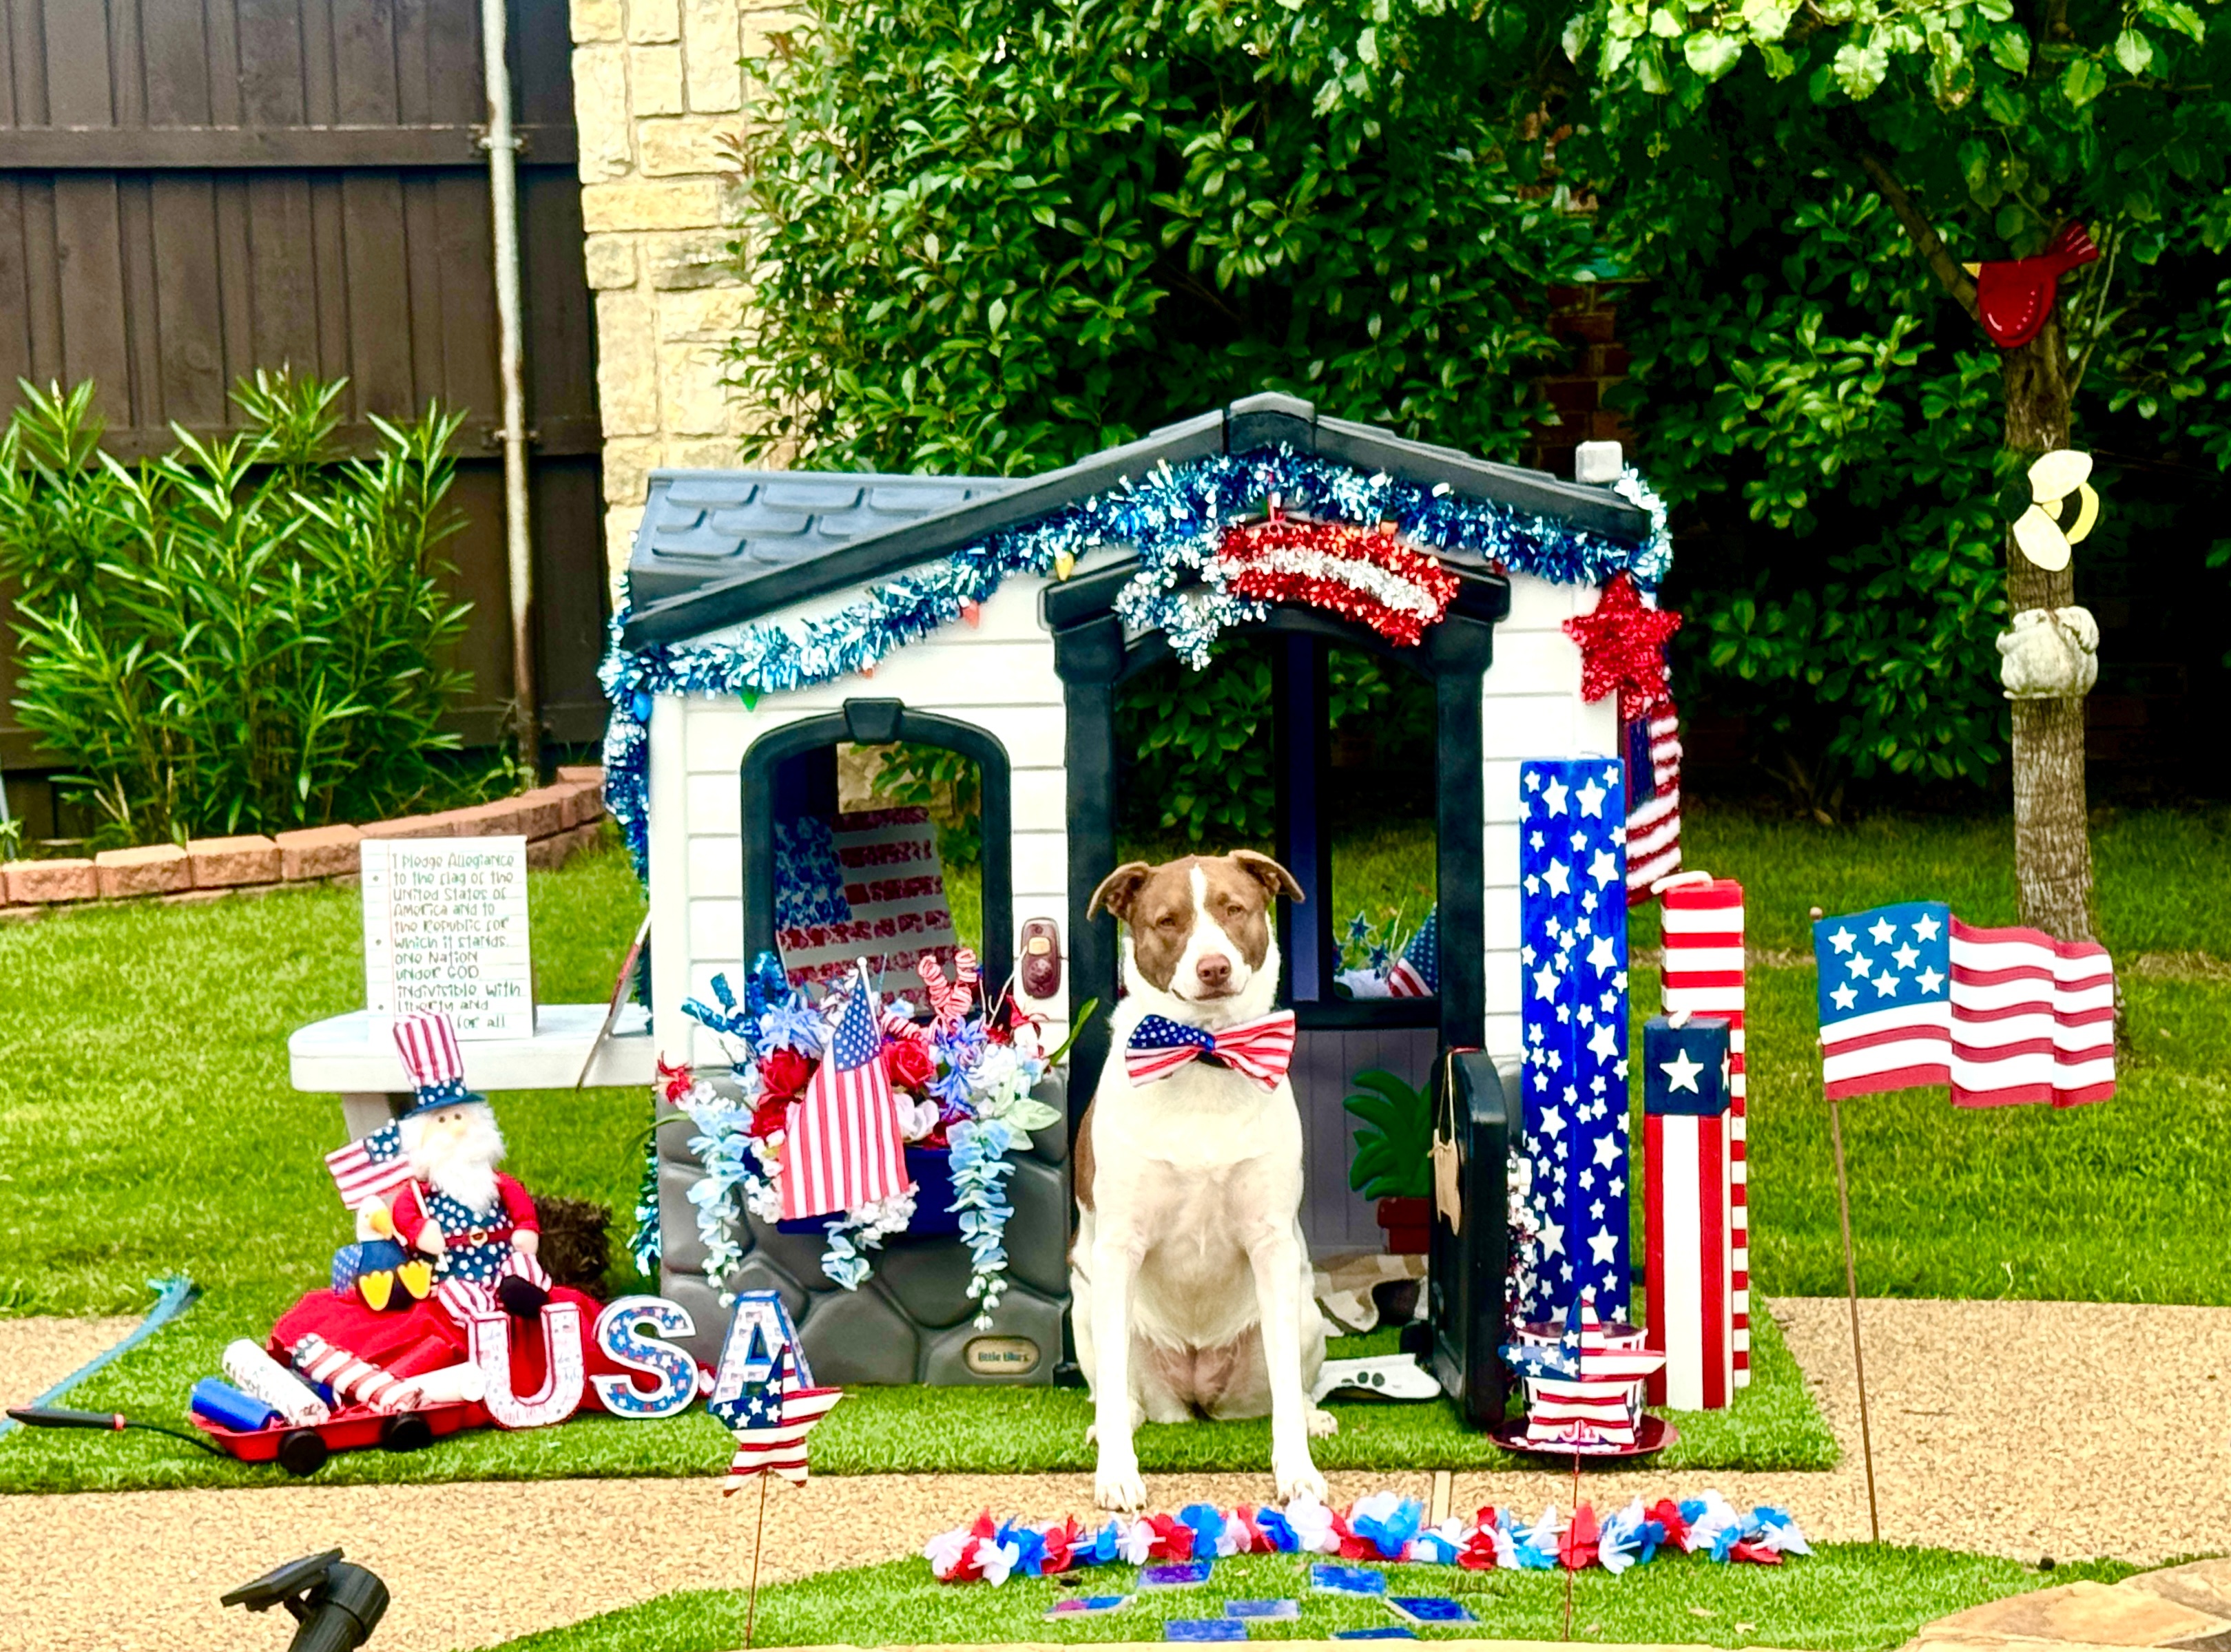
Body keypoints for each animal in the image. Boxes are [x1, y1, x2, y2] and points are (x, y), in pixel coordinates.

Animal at [1075, 851, 1329, 1507]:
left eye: (1233, 908)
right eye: (1167, 920)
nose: (1212, 966)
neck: (1205, 1052)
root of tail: (1196, 1393)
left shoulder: (1272, 1245)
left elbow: (1286, 1388)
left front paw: (1297, 1469)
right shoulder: (1117, 1247)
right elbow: (1112, 1390)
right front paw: (1117, 1473)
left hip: (1304, 1309)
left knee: (1289, 1387)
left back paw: (1312, 1413)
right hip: (1087, 1309)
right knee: (1118, 1393)